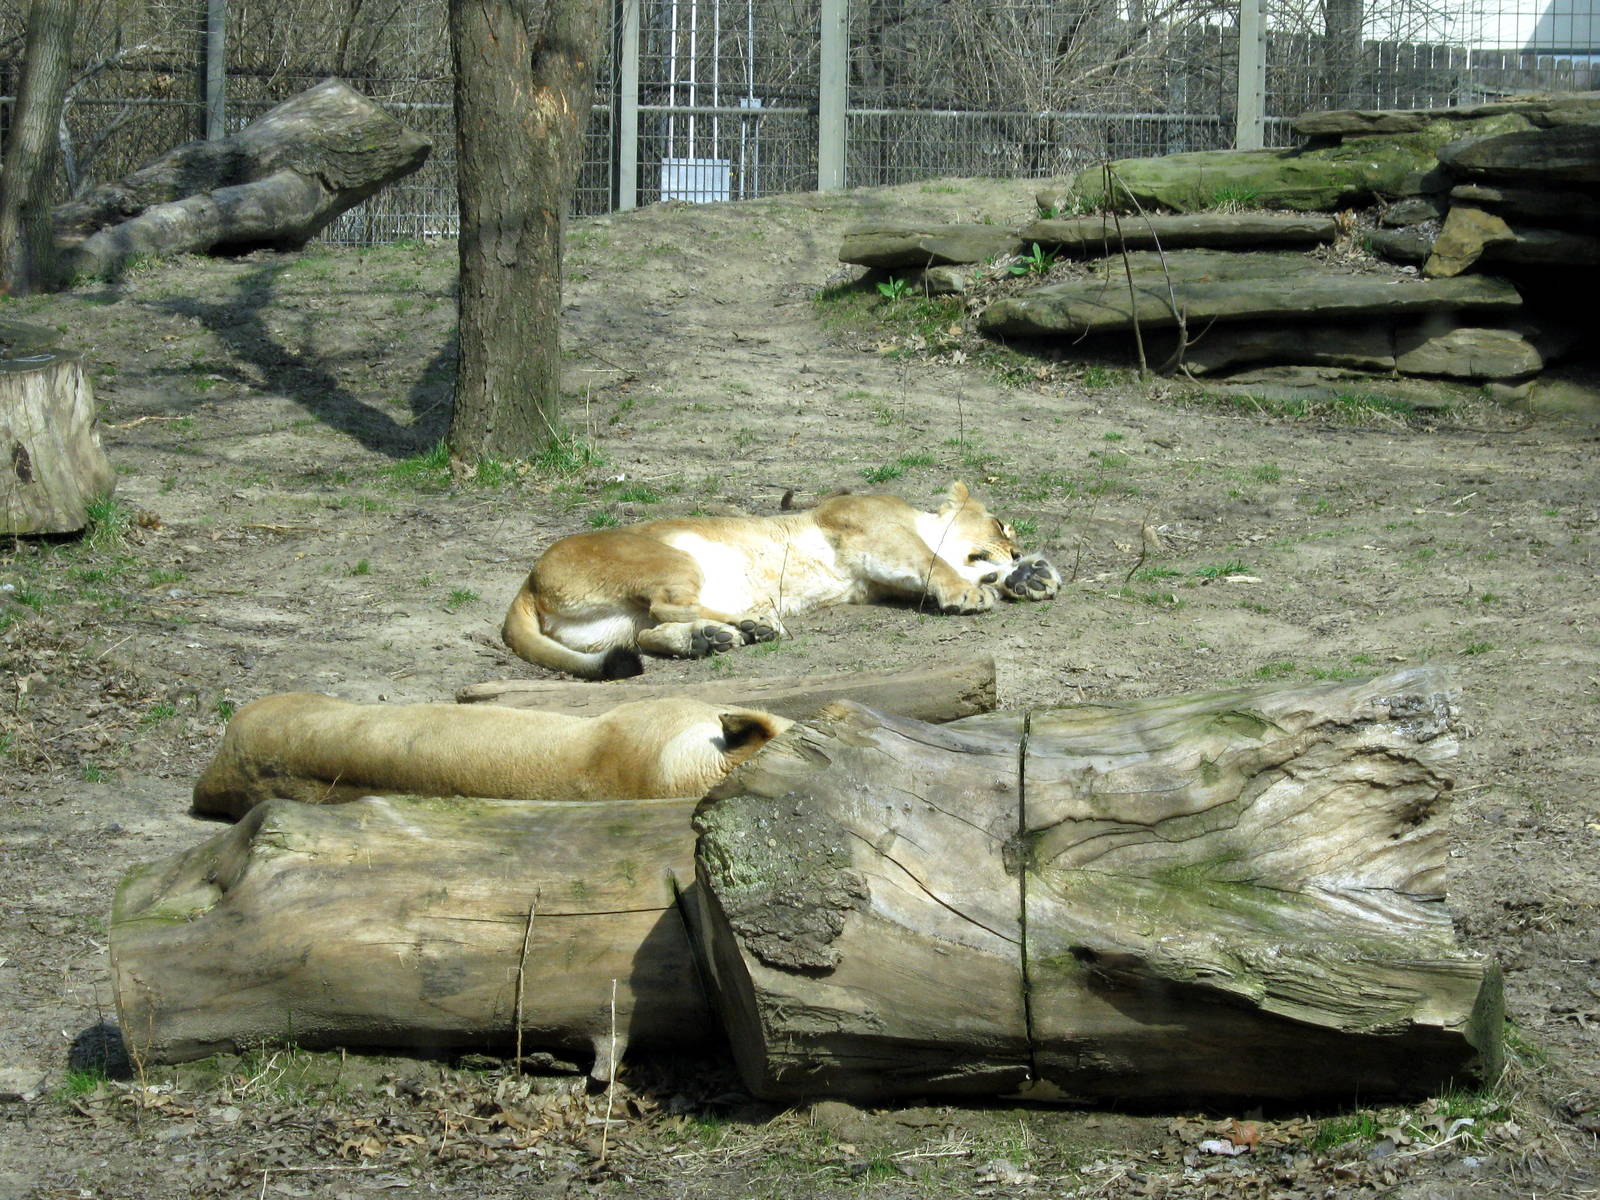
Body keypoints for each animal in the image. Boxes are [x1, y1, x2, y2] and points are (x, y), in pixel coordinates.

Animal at [502, 481, 1061, 679]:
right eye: (1001, 525)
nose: (1016, 550)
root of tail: (527, 583)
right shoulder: (872, 531)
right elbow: (933, 562)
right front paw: (973, 590)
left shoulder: (876, 579)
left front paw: (1031, 577)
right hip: (666, 558)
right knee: (666, 607)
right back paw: (754, 623)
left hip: (615, 624)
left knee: (650, 632)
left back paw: (716, 638)